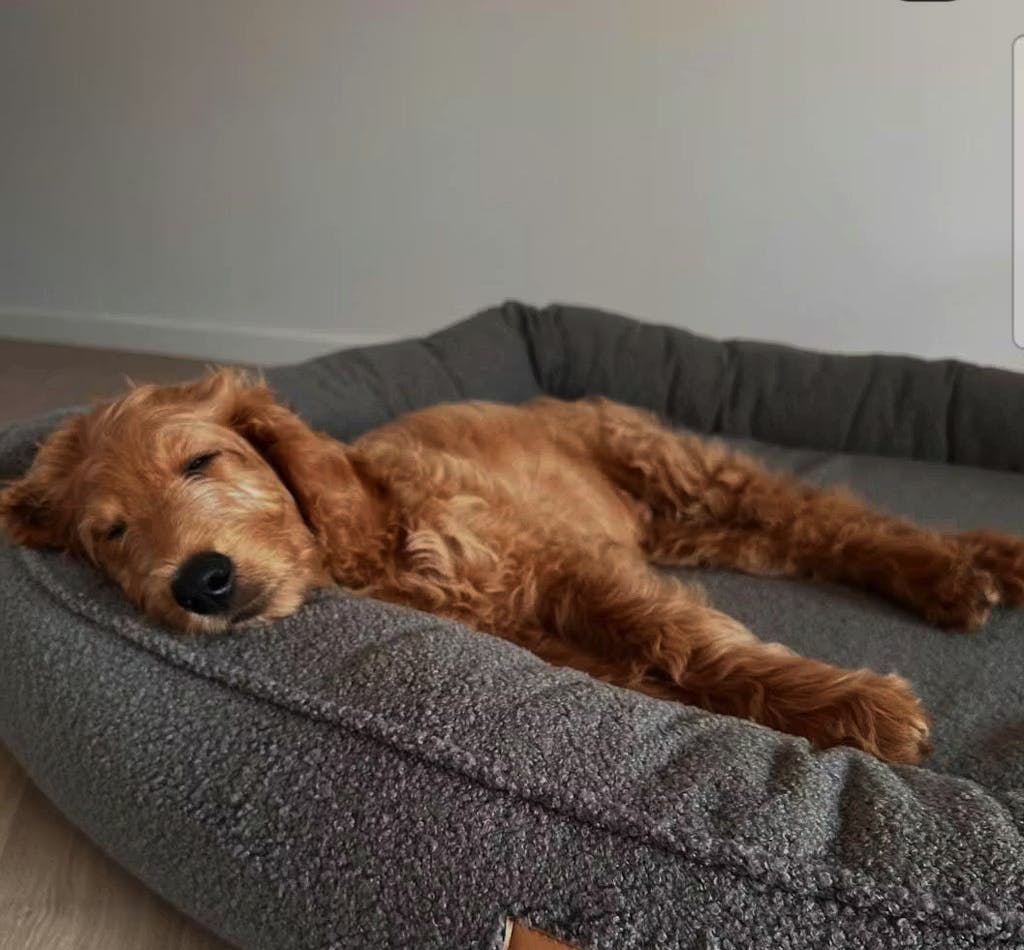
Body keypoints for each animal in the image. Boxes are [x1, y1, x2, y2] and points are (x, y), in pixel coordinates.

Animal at [4, 368, 1023, 764]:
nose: (200, 583)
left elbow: (686, 639)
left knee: (836, 520)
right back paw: (979, 566)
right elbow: (661, 672)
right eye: (111, 534)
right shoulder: (561, 642)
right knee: (815, 534)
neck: (380, 541)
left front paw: (857, 707)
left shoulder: (572, 564)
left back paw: (963, 569)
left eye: (202, 462)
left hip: (682, 470)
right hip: (701, 529)